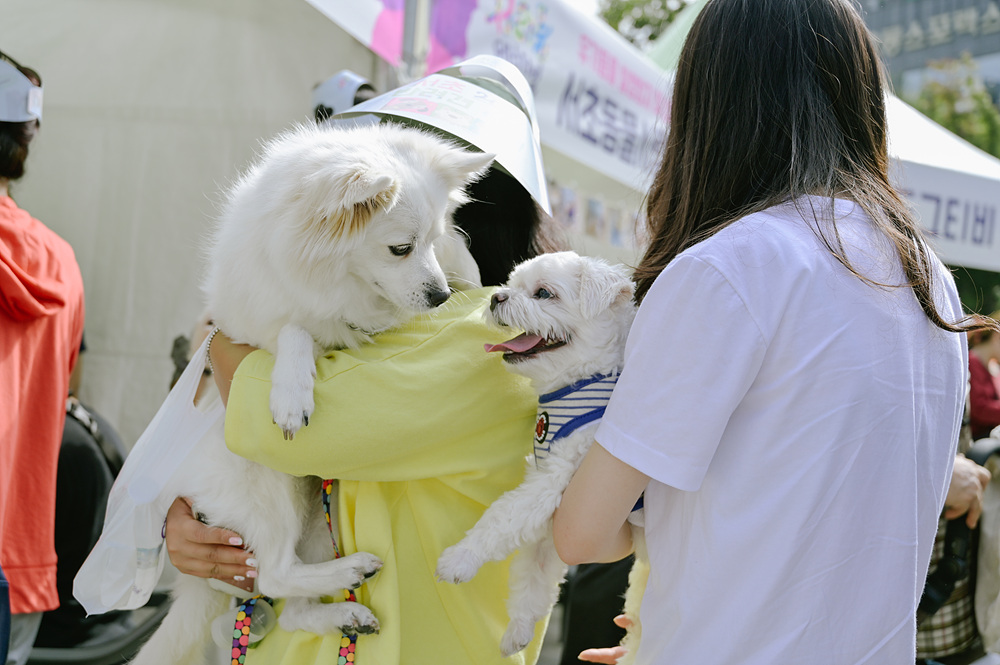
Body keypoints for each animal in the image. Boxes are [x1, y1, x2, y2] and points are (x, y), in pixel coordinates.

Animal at [133, 120, 492, 664]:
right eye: (400, 248)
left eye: (433, 240)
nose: (440, 298)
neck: (334, 284)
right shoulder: (262, 325)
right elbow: (293, 330)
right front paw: (291, 392)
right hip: (272, 481)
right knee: (274, 574)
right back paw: (349, 572)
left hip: (322, 511)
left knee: (290, 605)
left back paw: (344, 611)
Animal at [436, 252, 640, 656]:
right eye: (511, 284)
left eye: (544, 293)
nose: (496, 297)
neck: (573, 387)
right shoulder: (549, 517)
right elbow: (534, 573)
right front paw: (518, 629)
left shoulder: (557, 479)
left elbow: (500, 516)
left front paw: (460, 559)